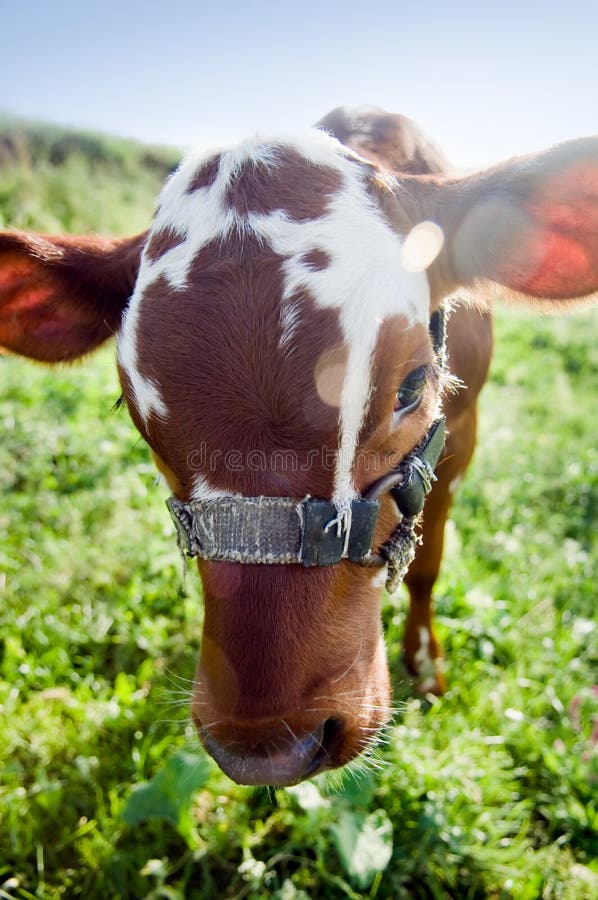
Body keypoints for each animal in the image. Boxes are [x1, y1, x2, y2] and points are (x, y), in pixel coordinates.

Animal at [1, 109, 598, 788]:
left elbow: (428, 564)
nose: (266, 744)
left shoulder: (461, 436)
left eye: (412, 385)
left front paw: (426, 663)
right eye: (133, 409)